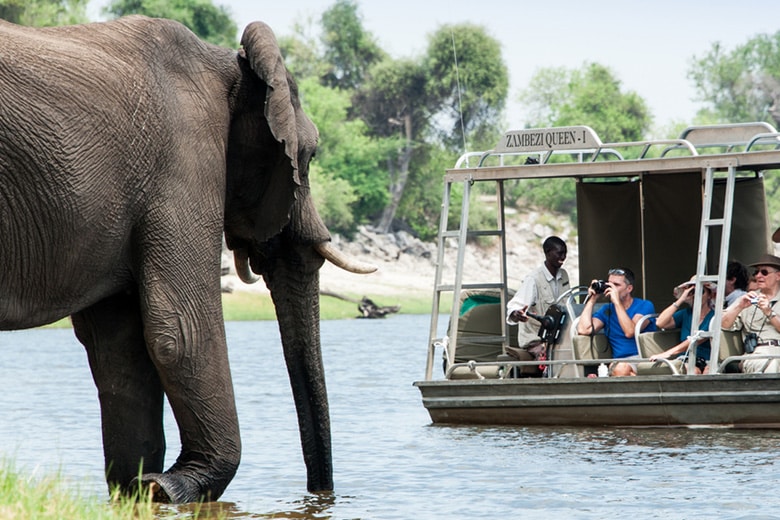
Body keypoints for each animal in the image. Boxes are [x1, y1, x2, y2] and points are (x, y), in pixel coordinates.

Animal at [0, 16, 374, 503]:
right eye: (308, 156)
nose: (320, 498)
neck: (229, 66)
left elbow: (118, 348)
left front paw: (138, 490)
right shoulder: (183, 163)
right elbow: (181, 329)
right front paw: (172, 486)